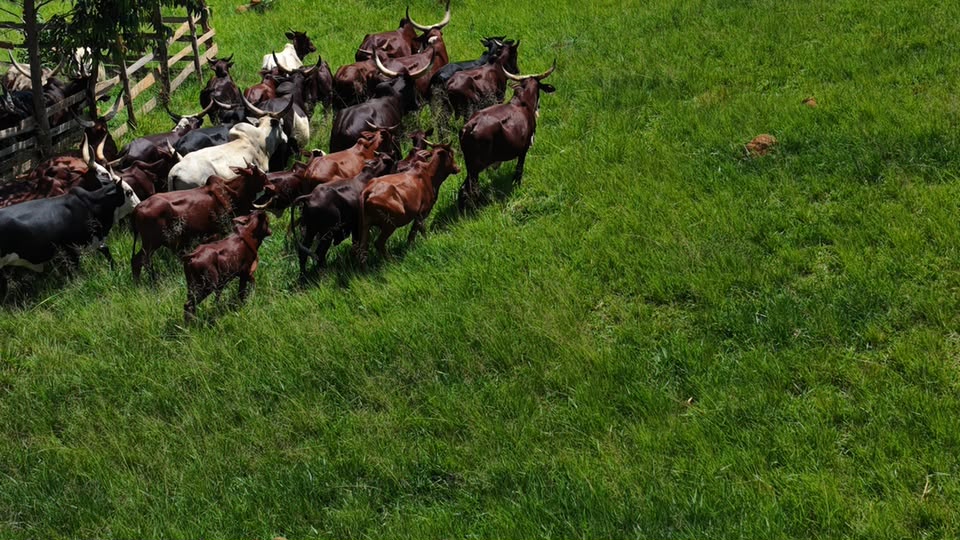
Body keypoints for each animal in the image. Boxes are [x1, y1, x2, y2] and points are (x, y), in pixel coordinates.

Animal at [0, 179, 137, 298]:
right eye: (129, 192)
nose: (139, 203)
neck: (88, 205)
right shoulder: (71, 249)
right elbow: (75, 270)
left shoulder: (90, 241)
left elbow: (105, 250)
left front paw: (115, 267)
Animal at [130, 165, 268, 281]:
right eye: (262, 175)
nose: (270, 185)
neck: (231, 192)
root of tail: (138, 207)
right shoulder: (219, 231)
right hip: (151, 243)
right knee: (141, 261)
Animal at [457, 61, 556, 211]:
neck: (523, 103)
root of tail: (469, 126)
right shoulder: (524, 149)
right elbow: (519, 171)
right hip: (476, 167)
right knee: (470, 190)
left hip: (470, 165)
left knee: (463, 189)